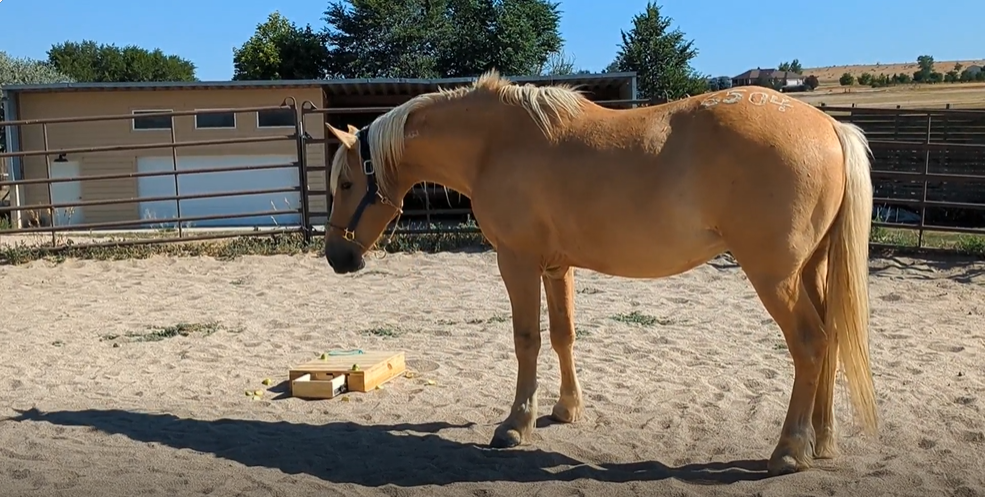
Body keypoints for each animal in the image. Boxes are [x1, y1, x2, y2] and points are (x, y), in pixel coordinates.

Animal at [322, 70, 878, 476]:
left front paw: (516, 424)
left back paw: (789, 450)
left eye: (347, 183)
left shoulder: (516, 262)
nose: (336, 258)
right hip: (811, 270)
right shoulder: (556, 266)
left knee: (809, 344)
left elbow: (527, 340)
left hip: (775, 277)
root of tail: (829, 127)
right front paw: (566, 410)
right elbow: (563, 336)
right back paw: (822, 440)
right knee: (830, 339)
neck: (496, 144)